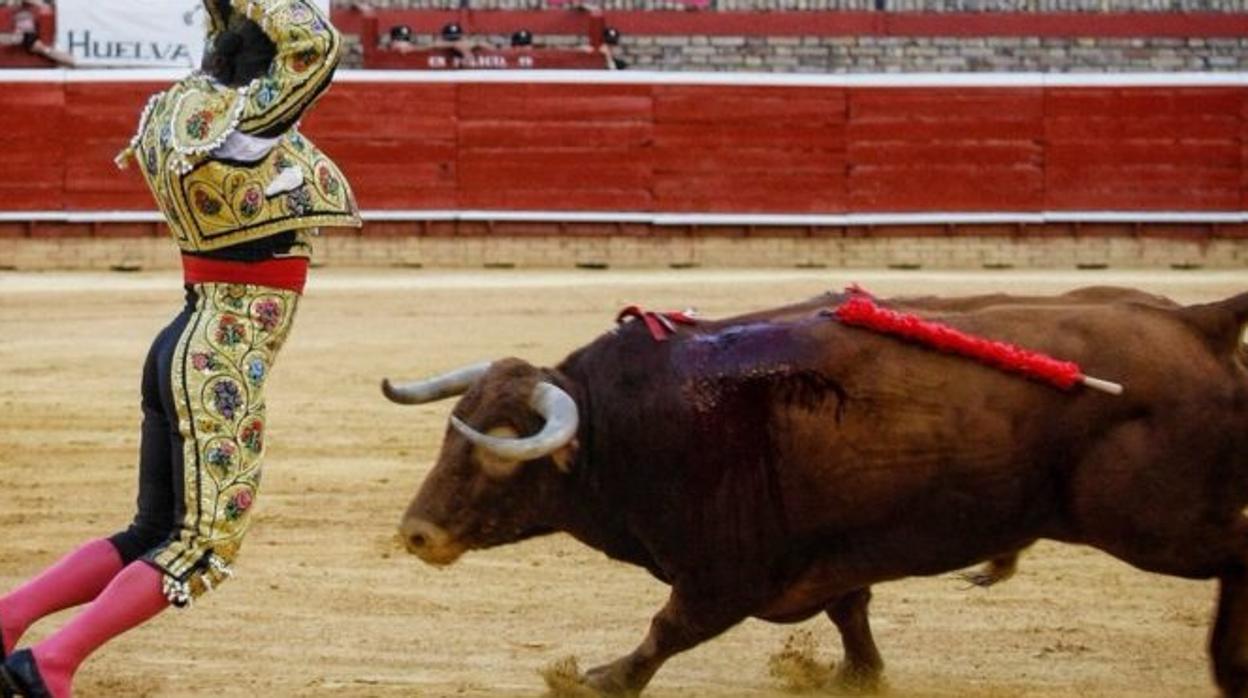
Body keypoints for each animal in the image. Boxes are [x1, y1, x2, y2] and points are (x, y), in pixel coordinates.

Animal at [379, 287, 1248, 694]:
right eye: (454, 427)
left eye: (500, 454)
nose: (417, 533)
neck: (624, 421)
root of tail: (1198, 321)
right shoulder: (825, 553)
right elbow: (850, 612)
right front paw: (857, 677)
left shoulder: (727, 574)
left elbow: (668, 629)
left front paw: (595, 680)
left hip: (1151, 522)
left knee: (1236, 556)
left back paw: (1227, 668)